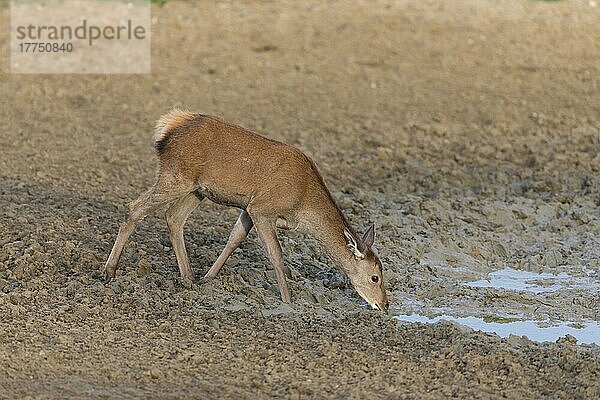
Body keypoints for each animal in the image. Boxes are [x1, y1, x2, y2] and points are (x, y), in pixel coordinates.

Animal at [103, 108, 390, 310]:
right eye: (376, 277)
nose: (385, 305)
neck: (302, 205)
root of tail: (167, 126)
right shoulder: (263, 208)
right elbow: (276, 254)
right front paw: (288, 301)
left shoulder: (249, 207)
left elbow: (235, 239)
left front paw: (208, 278)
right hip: (175, 176)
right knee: (135, 208)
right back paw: (109, 271)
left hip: (197, 190)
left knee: (173, 217)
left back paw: (189, 278)